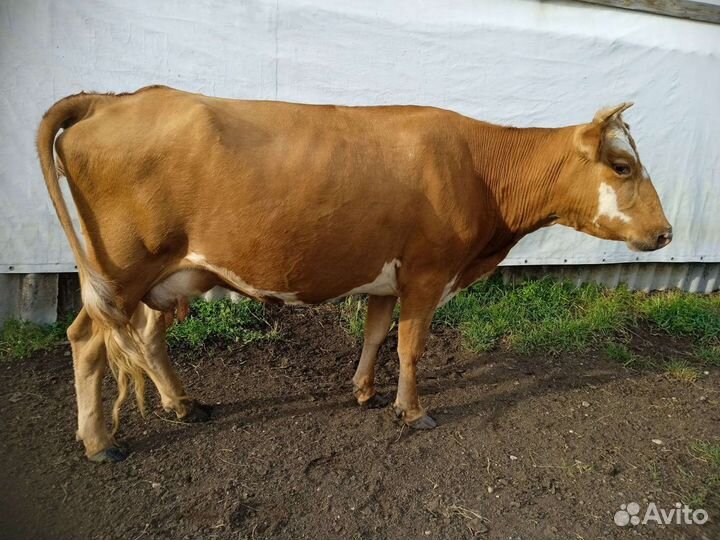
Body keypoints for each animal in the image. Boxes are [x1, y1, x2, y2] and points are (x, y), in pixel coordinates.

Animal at [37, 86, 672, 462]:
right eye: (622, 165)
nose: (666, 233)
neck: (481, 171)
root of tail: (111, 98)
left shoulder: (386, 278)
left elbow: (376, 333)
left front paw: (364, 391)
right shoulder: (427, 274)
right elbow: (412, 347)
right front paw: (411, 410)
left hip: (168, 273)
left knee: (146, 336)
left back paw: (183, 405)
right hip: (122, 269)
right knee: (87, 340)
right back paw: (99, 442)